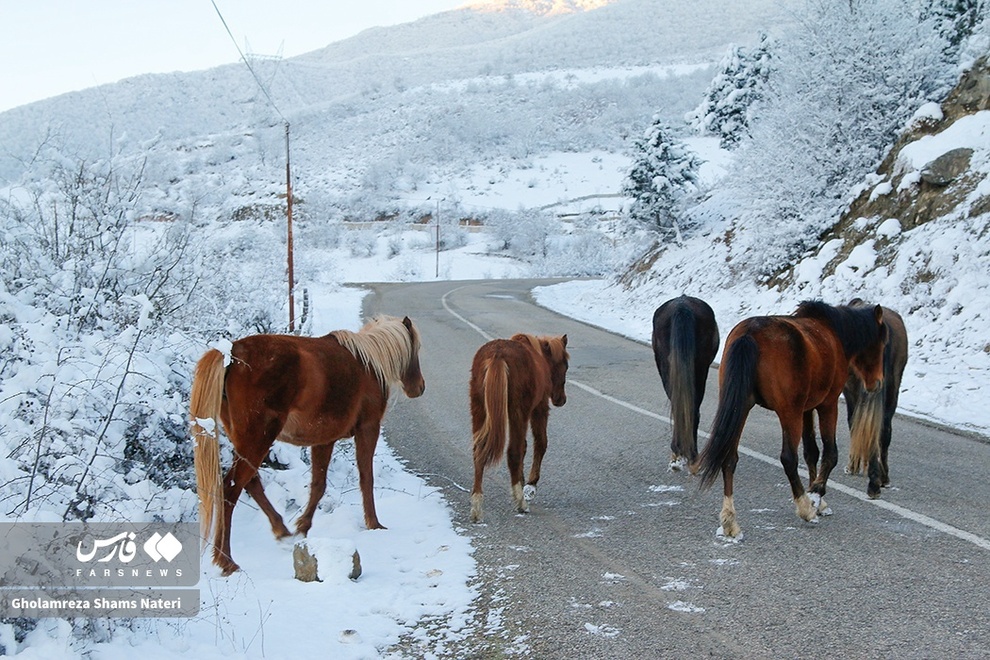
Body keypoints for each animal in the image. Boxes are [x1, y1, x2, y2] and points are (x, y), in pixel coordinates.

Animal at [190, 318, 426, 576]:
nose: (419, 387)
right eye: (416, 349)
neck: (369, 364)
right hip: (258, 439)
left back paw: (281, 531)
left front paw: (302, 527)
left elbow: (318, 485)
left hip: (245, 441)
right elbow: (366, 478)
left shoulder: (324, 440)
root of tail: (232, 352)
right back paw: (227, 561)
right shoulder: (368, 429)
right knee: (230, 489)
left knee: (251, 483)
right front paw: (374, 524)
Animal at [468, 332, 568, 524]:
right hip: (518, 411)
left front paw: (522, 483)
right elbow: (540, 443)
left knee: (479, 452)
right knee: (513, 452)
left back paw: (476, 507)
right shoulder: (539, 408)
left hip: (479, 408)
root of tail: (497, 356)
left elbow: (525, 446)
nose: (561, 399)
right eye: (565, 366)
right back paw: (521, 503)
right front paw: (530, 485)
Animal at [696, 302, 892, 540]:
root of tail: (749, 334)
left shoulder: (806, 409)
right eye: (881, 342)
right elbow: (830, 454)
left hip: (741, 407)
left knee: (729, 459)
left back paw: (730, 520)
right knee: (788, 458)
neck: (833, 333)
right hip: (789, 413)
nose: (877, 383)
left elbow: (811, 454)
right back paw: (804, 508)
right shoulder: (828, 405)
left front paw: (819, 500)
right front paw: (815, 495)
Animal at [844, 296, 908, 498]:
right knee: (884, 429)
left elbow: (854, 423)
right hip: (893, 387)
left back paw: (874, 482)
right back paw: (882, 478)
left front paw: (854, 465)